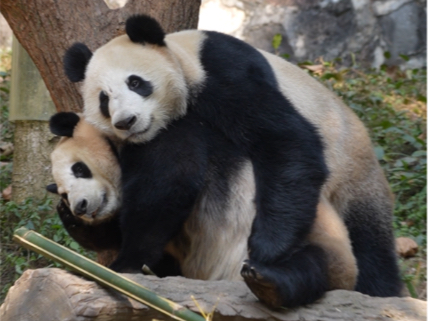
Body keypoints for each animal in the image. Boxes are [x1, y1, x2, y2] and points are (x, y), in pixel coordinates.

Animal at [47, 15, 402, 308]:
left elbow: (282, 139)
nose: (126, 122)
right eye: (103, 99)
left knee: (368, 246)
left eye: (135, 82)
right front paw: (77, 223)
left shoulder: (223, 76)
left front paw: (266, 248)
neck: (182, 56)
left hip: (352, 177)